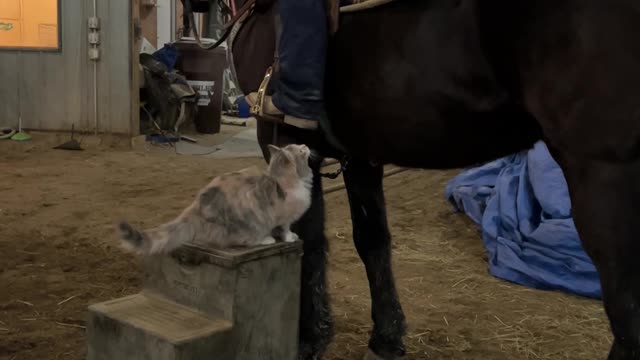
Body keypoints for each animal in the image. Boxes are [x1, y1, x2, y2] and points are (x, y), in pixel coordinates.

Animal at [118, 144, 316, 256]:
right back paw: (265, 239)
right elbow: (285, 228)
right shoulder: (285, 217)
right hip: (249, 222)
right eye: (300, 149)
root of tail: (198, 201)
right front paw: (289, 237)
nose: (306, 144)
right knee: (243, 239)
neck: (282, 179)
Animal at [226, 1, 640, 358]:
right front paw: (387, 337)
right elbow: (372, 241)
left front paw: (309, 339)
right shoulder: (359, 153)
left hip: (605, 175)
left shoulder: (284, 140)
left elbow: (307, 241)